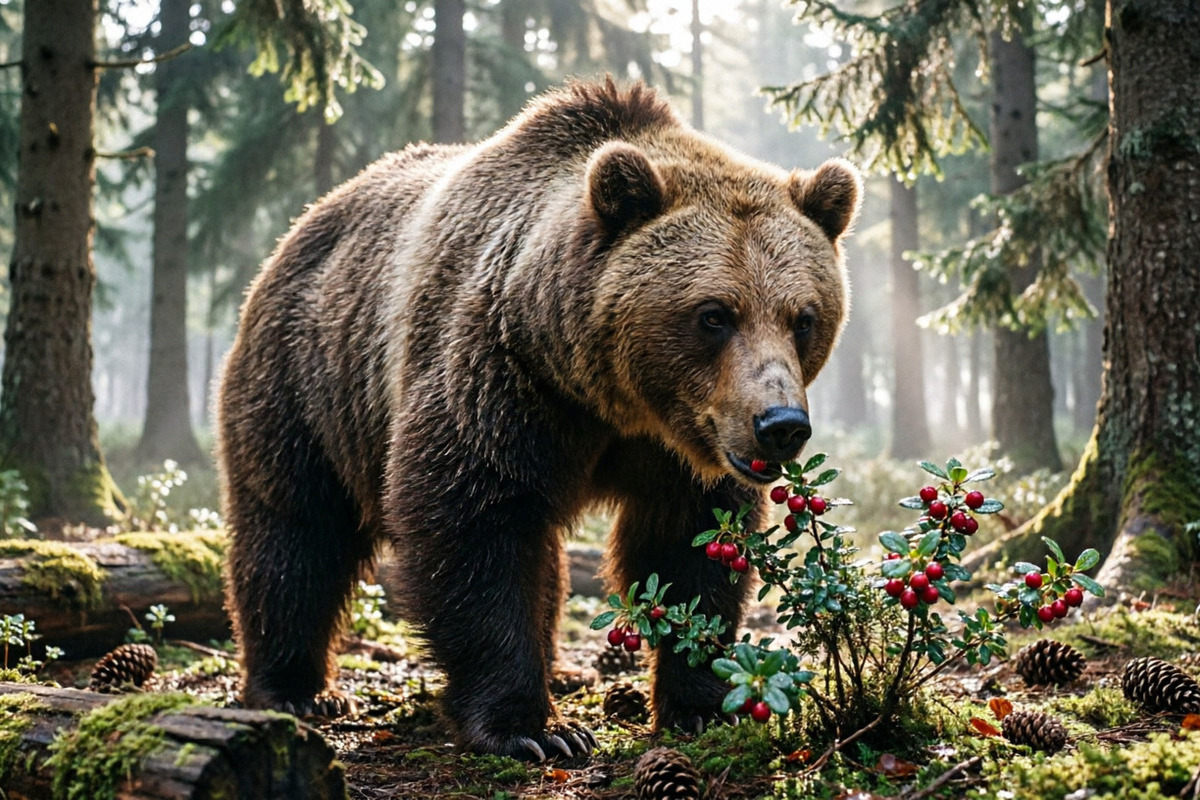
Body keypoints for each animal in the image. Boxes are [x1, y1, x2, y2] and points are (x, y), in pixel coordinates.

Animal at [216, 77, 860, 761]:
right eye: (714, 314)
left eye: (803, 318)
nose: (780, 424)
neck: (615, 399)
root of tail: (303, 223)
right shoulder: (501, 381)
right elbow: (475, 528)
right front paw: (532, 728)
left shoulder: (677, 450)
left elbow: (692, 548)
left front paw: (703, 705)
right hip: (308, 381)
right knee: (294, 532)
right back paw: (296, 689)